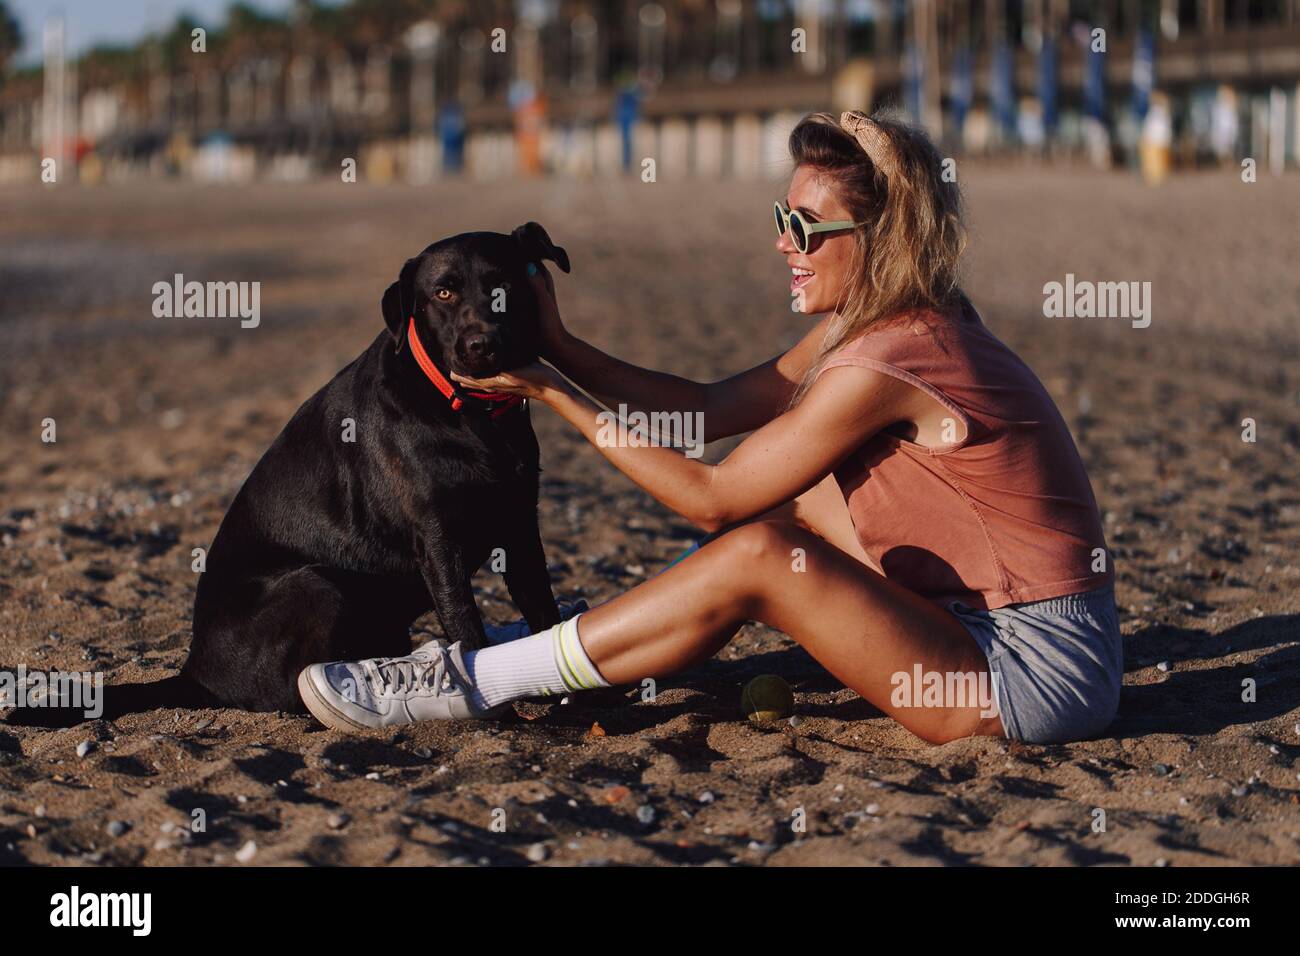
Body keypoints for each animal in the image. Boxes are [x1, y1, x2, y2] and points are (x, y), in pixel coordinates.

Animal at [8, 221, 569, 723]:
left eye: (504, 283)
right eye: (443, 292)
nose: (482, 345)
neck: (470, 413)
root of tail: (194, 671)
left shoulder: (520, 529)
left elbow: (545, 614)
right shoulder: (439, 540)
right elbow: (468, 631)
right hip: (316, 585)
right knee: (289, 690)